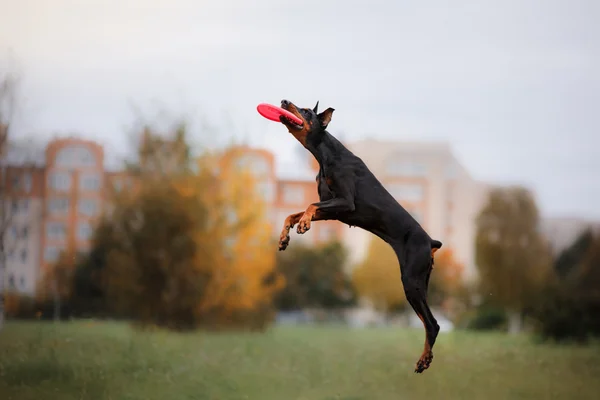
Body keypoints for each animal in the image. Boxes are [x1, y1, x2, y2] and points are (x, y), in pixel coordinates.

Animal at [278, 99, 442, 372]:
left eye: (307, 111)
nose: (283, 101)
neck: (326, 155)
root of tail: (430, 241)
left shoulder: (345, 202)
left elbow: (310, 206)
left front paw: (303, 225)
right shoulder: (333, 211)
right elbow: (293, 214)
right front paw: (285, 237)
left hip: (411, 281)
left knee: (433, 323)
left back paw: (423, 360)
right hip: (421, 281)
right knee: (429, 321)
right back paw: (426, 358)